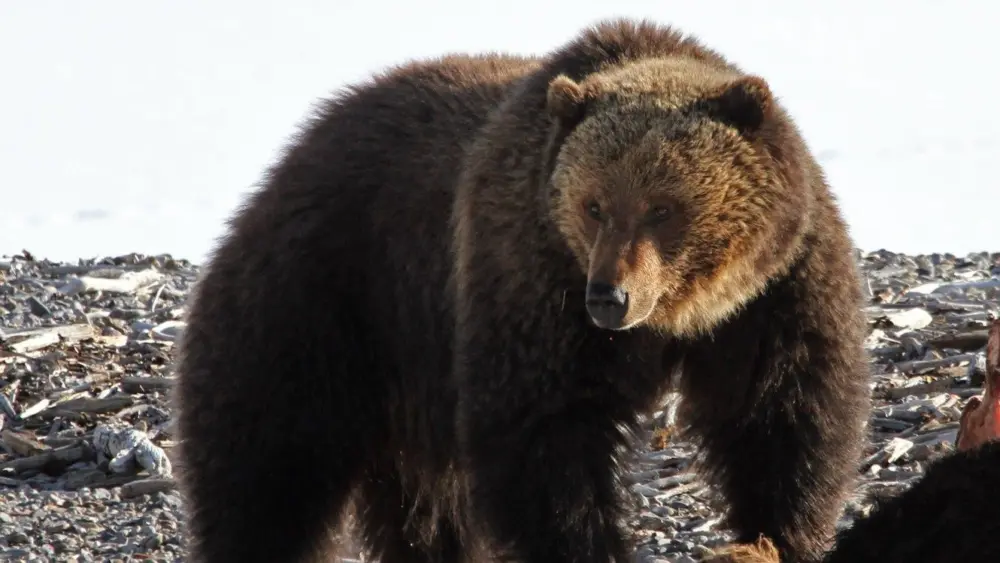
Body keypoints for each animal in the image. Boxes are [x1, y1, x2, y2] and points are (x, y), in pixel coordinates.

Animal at [172, 18, 871, 563]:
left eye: (663, 208)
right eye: (594, 205)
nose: (609, 297)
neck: (682, 317)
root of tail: (296, 150)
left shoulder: (777, 291)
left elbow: (784, 414)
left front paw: (776, 534)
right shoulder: (531, 277)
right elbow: (543, 430)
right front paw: (586, 545)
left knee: (425, 506)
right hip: (324, 298)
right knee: (268, 462)